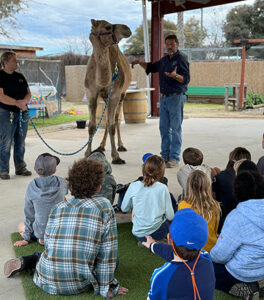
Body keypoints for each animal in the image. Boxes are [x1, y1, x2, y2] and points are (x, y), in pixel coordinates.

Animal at [84, 19, 132, 164]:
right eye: (107, 27)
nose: (127, 29)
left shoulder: (115, 93)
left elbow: (112, 125)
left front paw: (116, 156)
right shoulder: (91, 93)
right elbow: (92, 125)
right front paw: (87, 153)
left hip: (122, 94)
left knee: (116, 119)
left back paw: (121, 146)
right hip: (105, 97)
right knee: (107, 119)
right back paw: (101, 146)